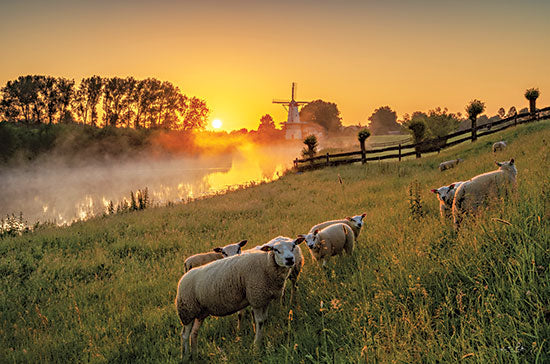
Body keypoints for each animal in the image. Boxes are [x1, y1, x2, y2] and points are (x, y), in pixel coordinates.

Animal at [176, 236, 306, 358]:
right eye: (275, 250)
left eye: (293, 246)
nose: (290, 259)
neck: (267, 263)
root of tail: (183, 278)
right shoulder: (256, 297)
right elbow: (259, 322)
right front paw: (256, 346)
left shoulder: (264, 298)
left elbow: (264, 320)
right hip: (187, 310)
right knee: (185, 335)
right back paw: (185, 356)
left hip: (200, 312)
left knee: (194, 333)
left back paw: (194, 354)